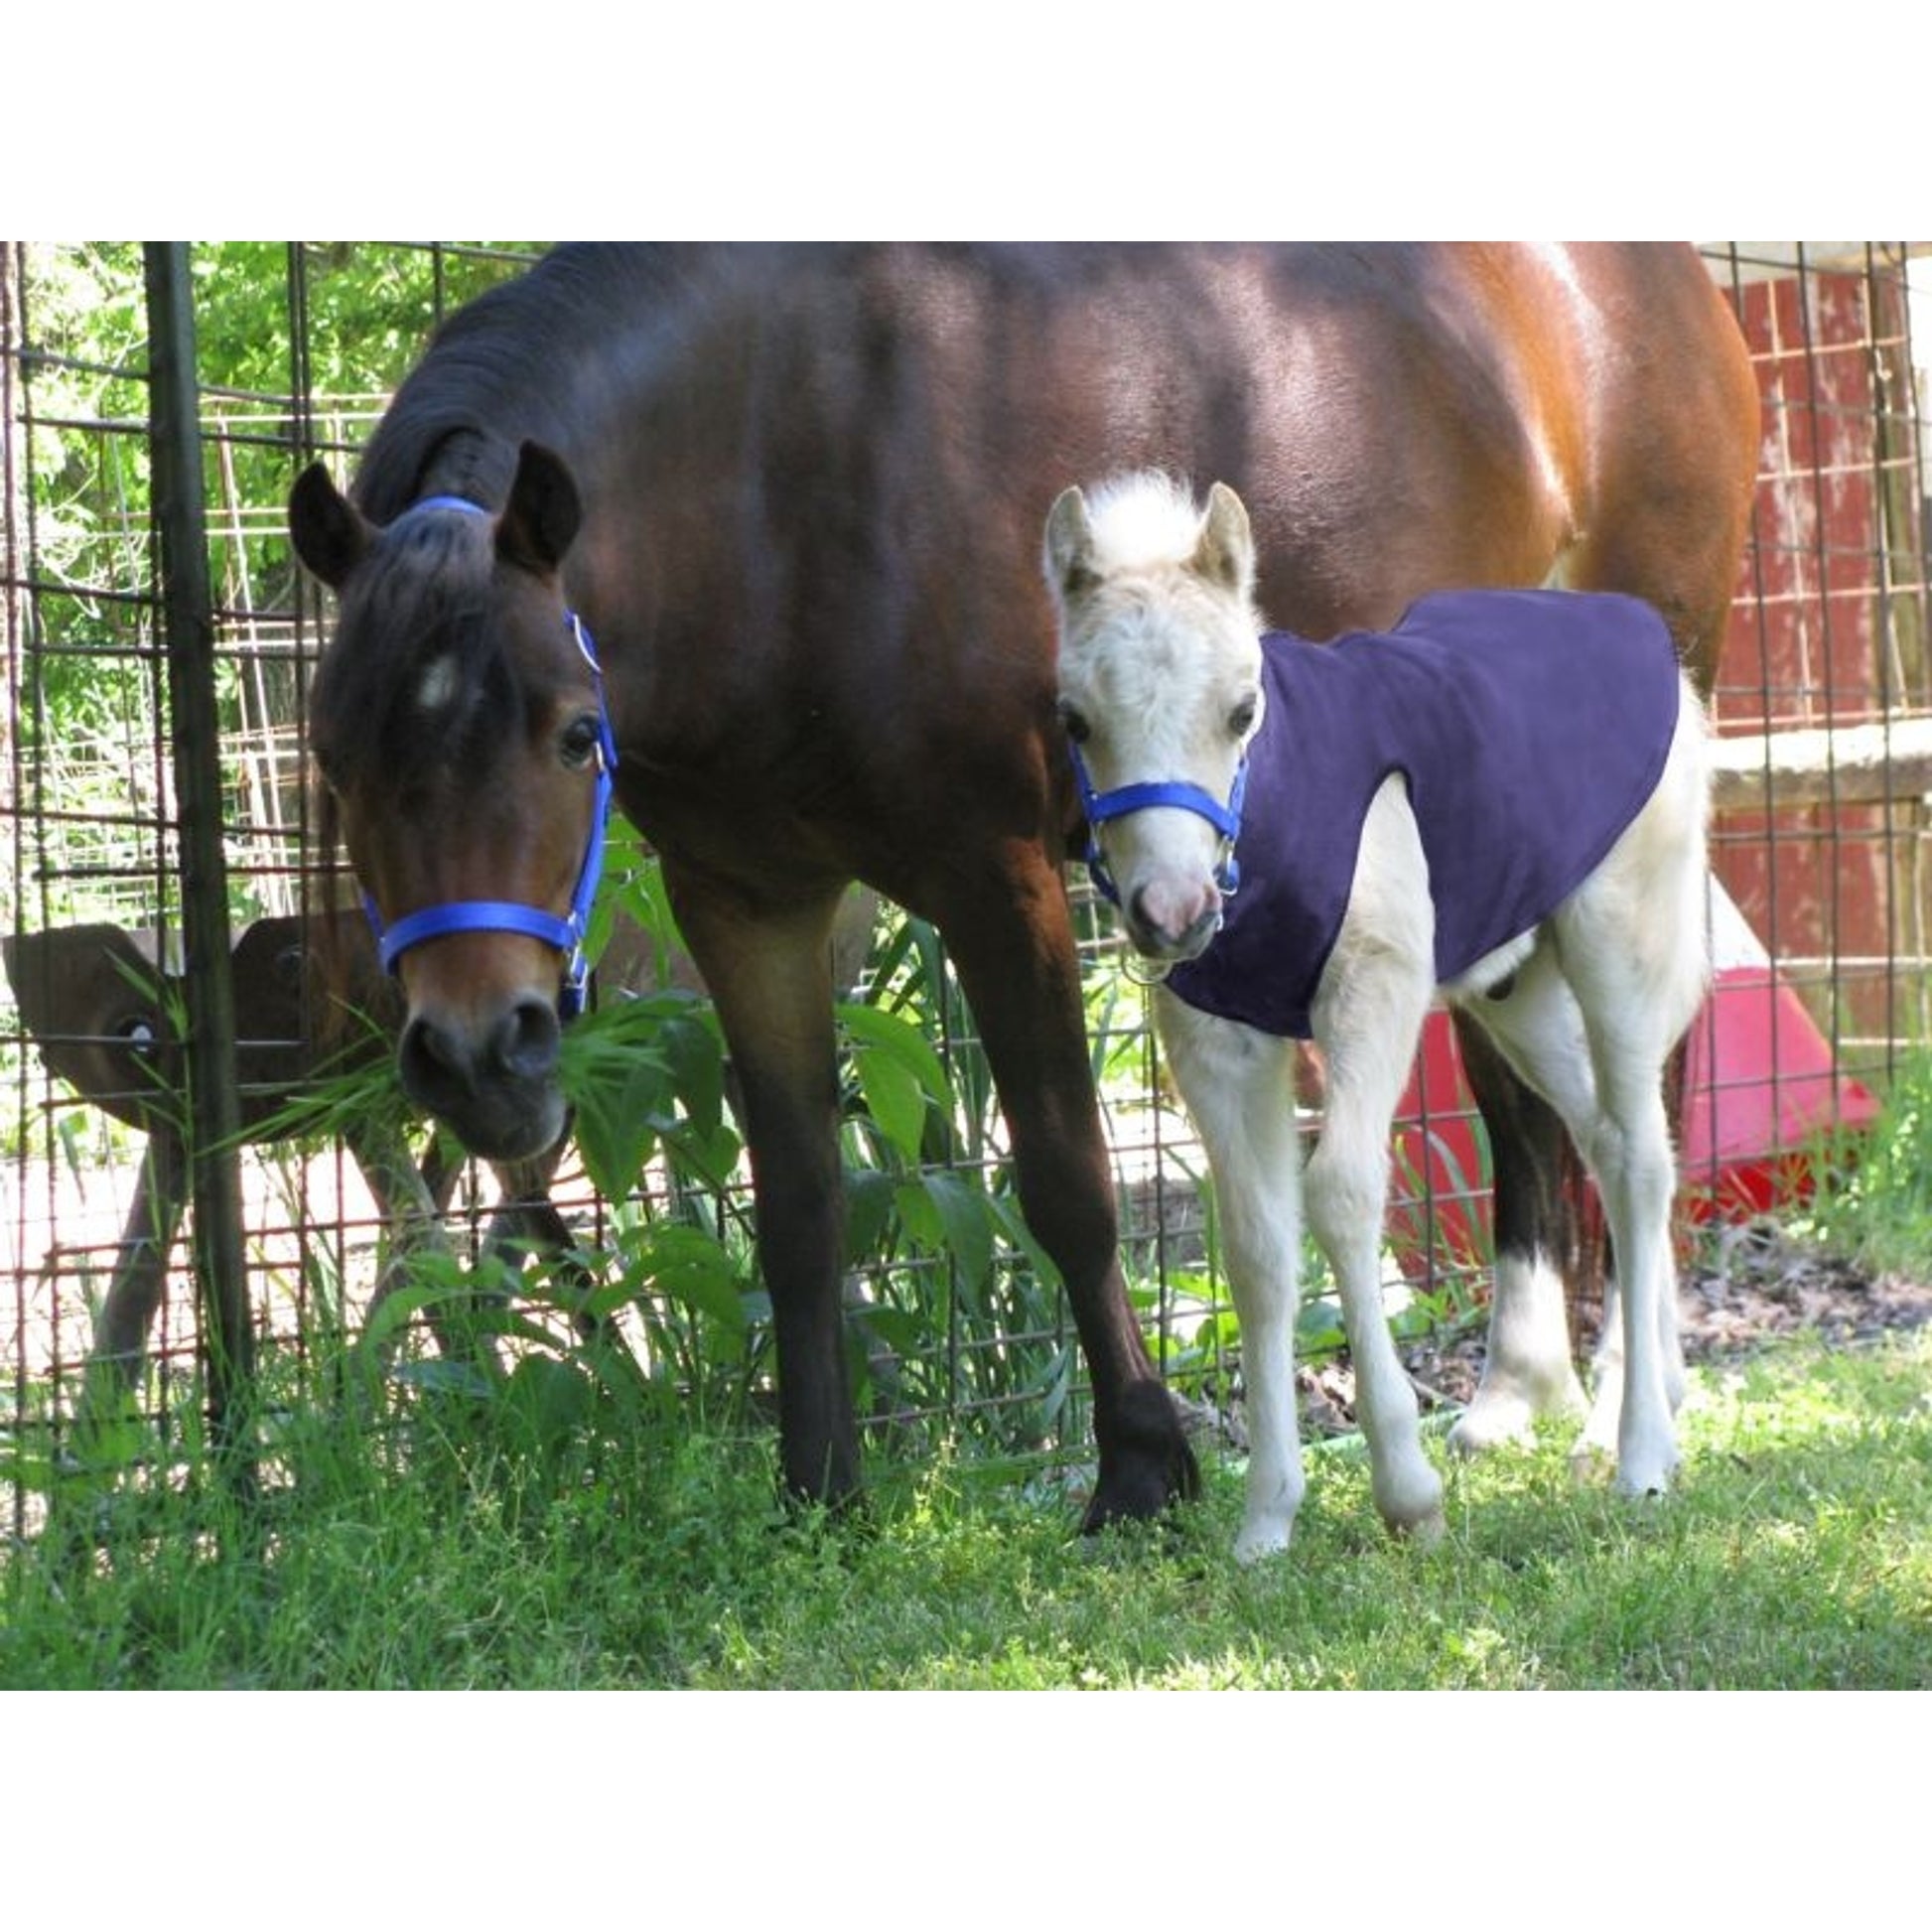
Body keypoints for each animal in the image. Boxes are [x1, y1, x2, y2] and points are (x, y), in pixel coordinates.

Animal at [1043, 472, 1713, 1557]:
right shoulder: (1214, 1040)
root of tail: (1651, 646)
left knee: (1644, 1156)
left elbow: (1343, 1192)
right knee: (1607, 1140)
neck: (1268, 816)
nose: (1170, 913)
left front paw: (1407, 1490)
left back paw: (1640, 1454)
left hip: (1618, 935)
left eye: (1240, 709)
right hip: (1517, 989)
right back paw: (1645, 1409)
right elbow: (1256, 1244)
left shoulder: (1374, 988)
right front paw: (1266, 1520)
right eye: (1073, 720)